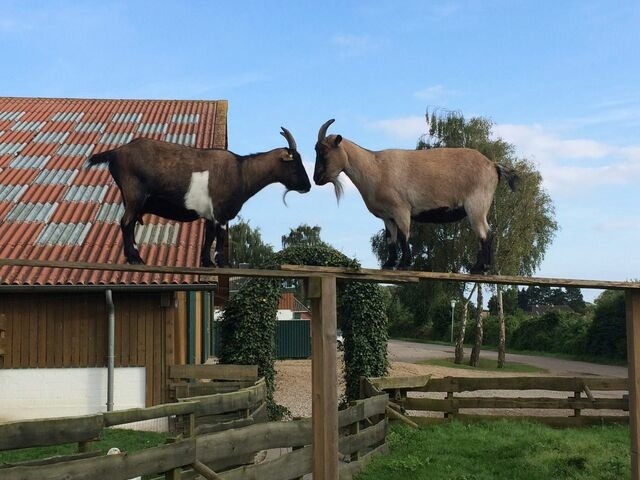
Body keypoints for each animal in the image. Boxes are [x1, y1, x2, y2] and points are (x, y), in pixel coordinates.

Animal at [87, 128, 310, 266]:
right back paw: (135, 259)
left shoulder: (211, 215)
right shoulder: (221, 212)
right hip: (134, 195)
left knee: (129, 222)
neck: (242, 170)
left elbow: (208, 236)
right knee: (126, 222)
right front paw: (223, 263)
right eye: (295, 162)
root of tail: (116, 152)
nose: (307, 186)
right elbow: (220, 237)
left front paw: (207, 262)